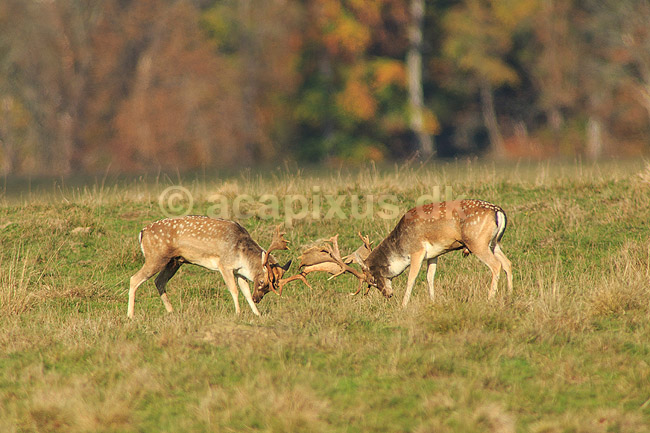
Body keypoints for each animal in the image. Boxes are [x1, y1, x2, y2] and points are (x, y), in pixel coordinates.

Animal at [127, 216, 291, 318]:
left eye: (271, 287)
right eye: (262, 281)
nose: (258, 299)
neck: (241, 254)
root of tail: (142, 232)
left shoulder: (239, 272)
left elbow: (245, 292)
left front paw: (258, 314)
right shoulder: (224, 265)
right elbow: (234, 290)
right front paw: (238, 313)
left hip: (174, 262)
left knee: (159, 281)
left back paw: (172, 312)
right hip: (155, 257)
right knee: (134, 278)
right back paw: (130, 315)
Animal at [311, 200, 513, 308]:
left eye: (372, 280)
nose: (387, 295)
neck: (401, 246)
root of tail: (499, 212)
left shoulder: (417, 251)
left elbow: (412, 278)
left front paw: (403, 305)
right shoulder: (434, 254)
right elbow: (430, 277)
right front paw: (433, 301)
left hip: (477, 242)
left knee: (496, 265)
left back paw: (490, 298)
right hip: (494, 243)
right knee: (507, 263)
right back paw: (510, 295)